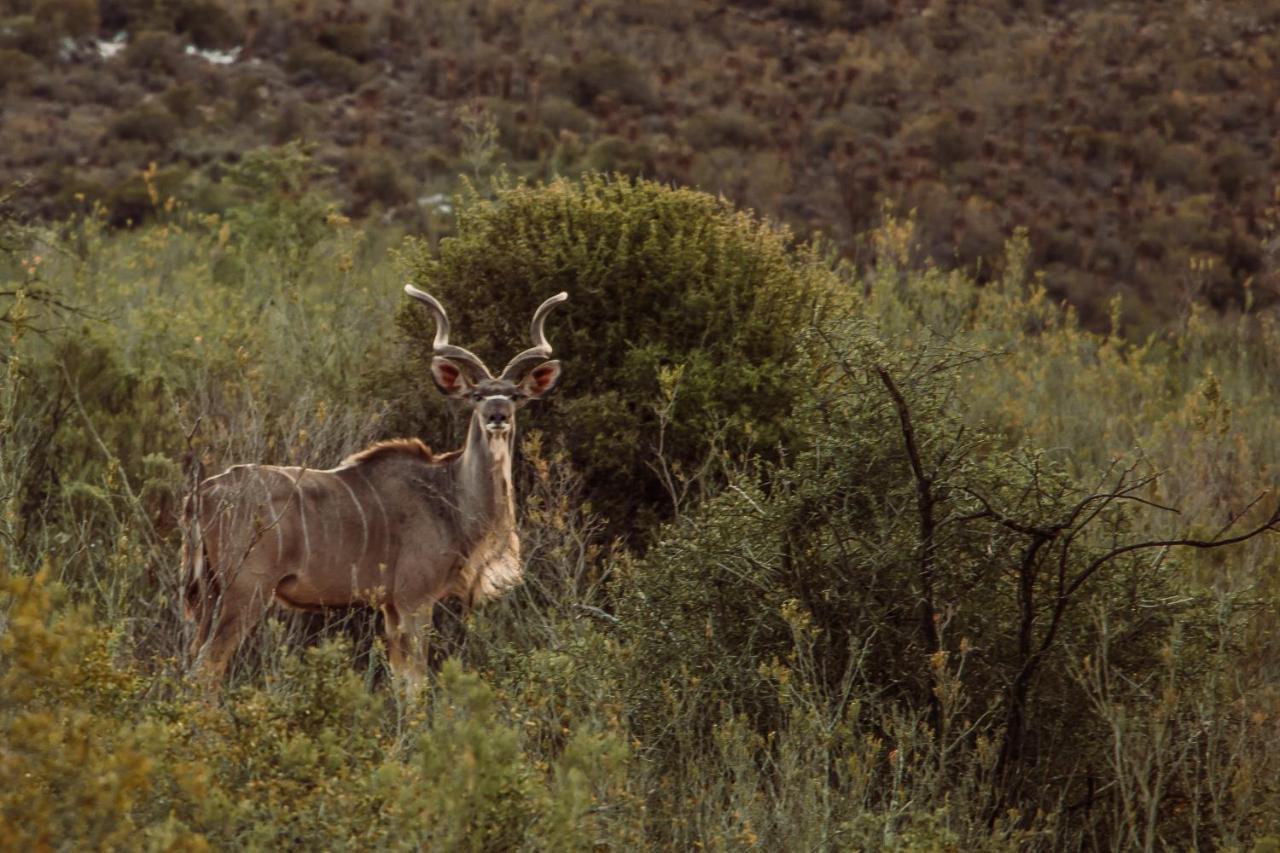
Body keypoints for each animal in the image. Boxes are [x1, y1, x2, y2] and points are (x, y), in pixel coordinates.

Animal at [181, 289, 565, 681]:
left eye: (515, 396)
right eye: (476, 396)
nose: (497, 416)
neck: (449, 494)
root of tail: (203, 493)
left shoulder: (391, 607)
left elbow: (400, 679)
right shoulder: (414, 599)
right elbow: (415, 681)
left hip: (211, 593)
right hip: (246, 590)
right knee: (205, 667)